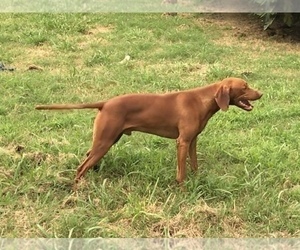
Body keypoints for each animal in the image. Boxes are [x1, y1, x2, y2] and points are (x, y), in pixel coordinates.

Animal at [35, 77, 262, 188]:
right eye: (245, 87)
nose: (261, 93)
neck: (201, 100)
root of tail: (106, 103)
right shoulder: (182, 141)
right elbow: (181, 172)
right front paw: (182, 190)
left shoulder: (192, 141)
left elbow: (195, 165)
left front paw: (198, 181)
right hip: (105, 141)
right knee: (80, 168)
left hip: (107, 140)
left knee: (87, 158)